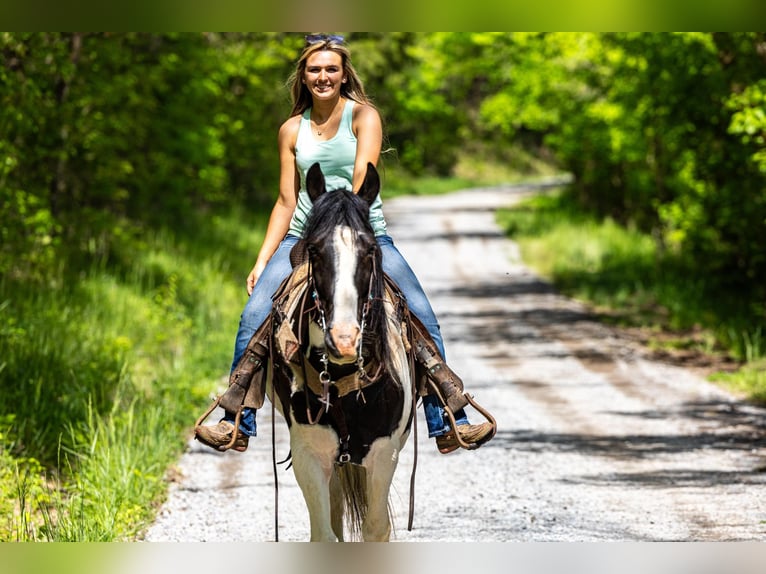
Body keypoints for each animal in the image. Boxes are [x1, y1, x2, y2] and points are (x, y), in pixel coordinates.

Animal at [268, 163, 416, 544]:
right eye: (314, 251)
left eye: (370, 250)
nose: (345, 339)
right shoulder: (309, 455)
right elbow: (324, 533)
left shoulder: (384, 455)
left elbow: (376, 529)